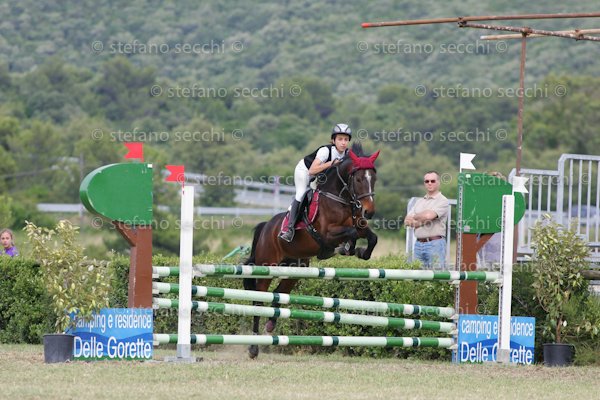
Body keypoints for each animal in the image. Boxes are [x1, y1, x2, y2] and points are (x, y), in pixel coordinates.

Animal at [243, 142, 380, 358]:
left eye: (373, 178)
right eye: (358, 179)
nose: (369, 211)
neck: (340, 198)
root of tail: (266, 227)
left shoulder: (360, 225)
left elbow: (370, 237)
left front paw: (359, 252)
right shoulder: (327, 234)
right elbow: (350, 233)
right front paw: (346, 248)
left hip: (295, 268)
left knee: (279, 294)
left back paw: (270, 327)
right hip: (267, 265)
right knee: (259, 300)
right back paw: (253, 347)